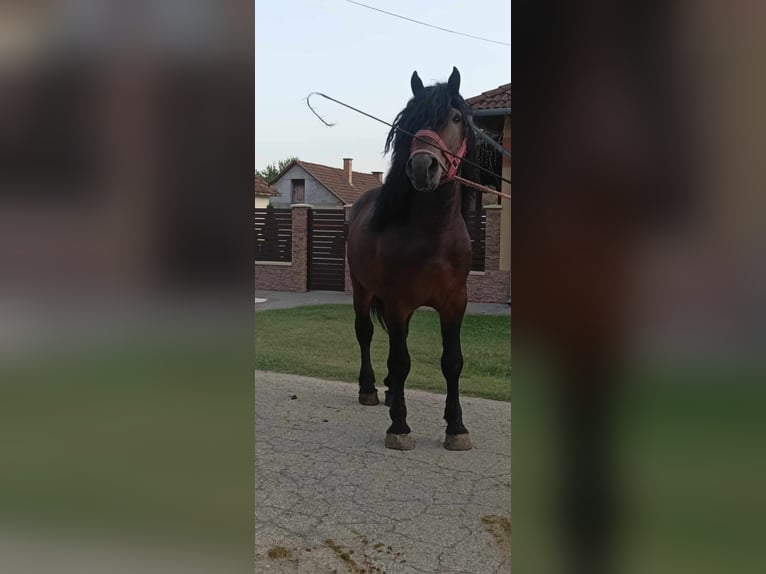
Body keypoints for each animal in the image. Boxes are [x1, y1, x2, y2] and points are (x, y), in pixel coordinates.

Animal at [350, 67, 480, 452]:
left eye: (455, 118)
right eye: (409, 123)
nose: (423, 168)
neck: (433, 237)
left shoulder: (455, 303)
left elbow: (452, 361)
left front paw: (457, 428)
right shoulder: (398, 303)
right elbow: (401, 359)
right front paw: (399, 427)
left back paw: (393, 394)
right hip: (361, 289)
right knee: (365, 334)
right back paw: (370, 390)